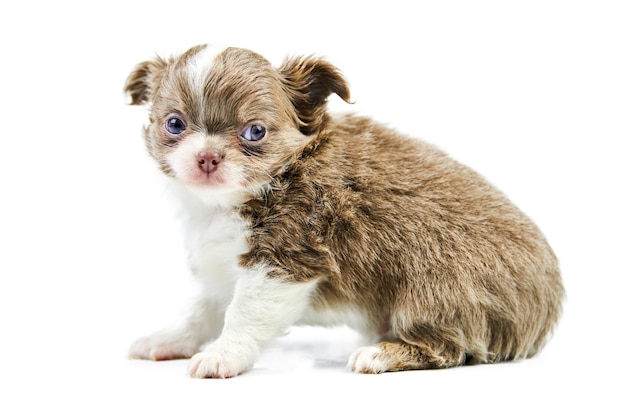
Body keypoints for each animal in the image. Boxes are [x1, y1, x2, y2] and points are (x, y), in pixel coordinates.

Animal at [122, 44, 560, 376]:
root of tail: (547, 305)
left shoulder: (284, 259)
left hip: (437, 290)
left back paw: (382, 353)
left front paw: (222, 355)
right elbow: (204, 309)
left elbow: (243, 313)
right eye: (174, 124)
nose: (207, 158)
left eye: (255, 132)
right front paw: (172, 339)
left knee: (447, 347)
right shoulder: (225, 264)